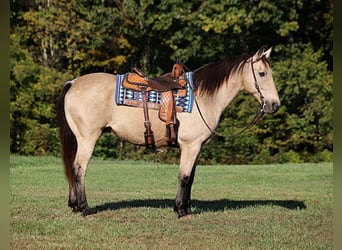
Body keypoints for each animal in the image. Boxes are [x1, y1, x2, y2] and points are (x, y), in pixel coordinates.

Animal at [56, 46, 280, 217]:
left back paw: (75, 206)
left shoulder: (196, 148)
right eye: (262, 73)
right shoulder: (190, 146)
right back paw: (84, 208)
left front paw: (186, 208)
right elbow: (184, 177)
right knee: (79, 168)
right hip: (88, 138)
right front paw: (181, 210)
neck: (202, 97)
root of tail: (73, 83)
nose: (274, 105)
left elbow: (191, 177)